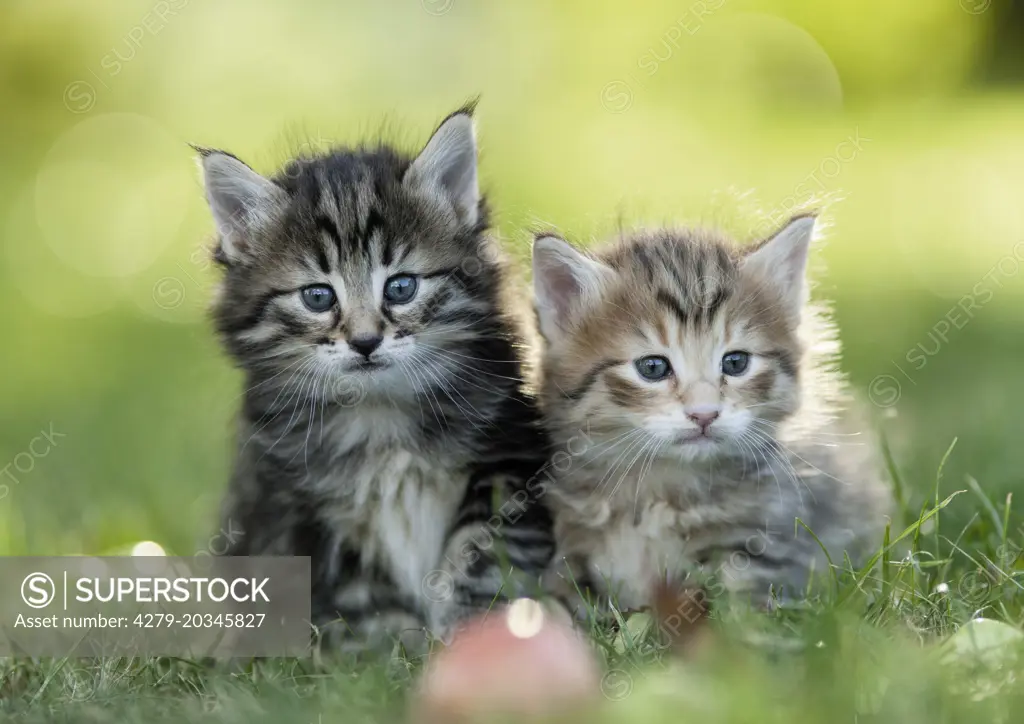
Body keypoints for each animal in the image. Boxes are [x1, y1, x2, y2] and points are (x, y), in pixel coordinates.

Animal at [196, 110, 557, 655]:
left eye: (401, 287)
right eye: (318, 297)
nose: (365, 342)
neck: (379, 416)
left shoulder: (506, 456)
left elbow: (479, 548)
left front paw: (469, 625)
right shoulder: (300, 503)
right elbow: (359, 590)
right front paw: (392, 649)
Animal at [532, 215, 892, 618]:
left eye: (735, 363)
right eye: (653, 367)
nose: (704, 414)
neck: (659, 490)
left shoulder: (767, 542)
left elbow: (733, 603)